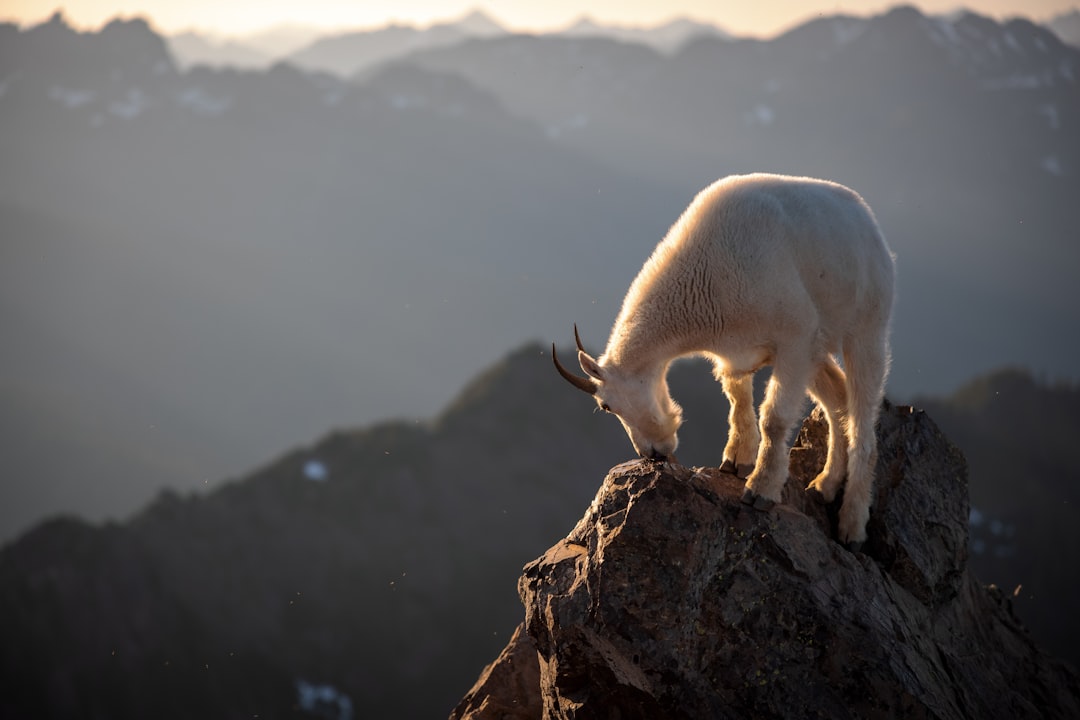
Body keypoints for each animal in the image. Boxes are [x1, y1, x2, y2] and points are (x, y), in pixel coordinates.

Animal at [552, 173, 895, 546]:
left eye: (606, 406)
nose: (653, 454)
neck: (708, 275)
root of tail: (870, 224)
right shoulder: (737, 354)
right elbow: (737, 398)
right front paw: (736, 461)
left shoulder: (796, 337)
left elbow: (774, 419)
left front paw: (760, 490)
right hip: (819, 351)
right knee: (837, 402)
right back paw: (825, 485)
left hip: (866, 329)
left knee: (862, 416)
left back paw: (853, 524)